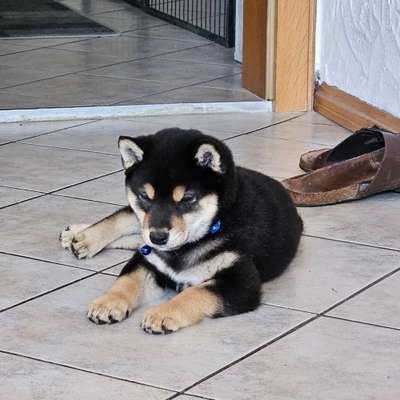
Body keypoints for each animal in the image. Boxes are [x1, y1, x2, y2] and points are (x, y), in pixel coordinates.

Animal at [60, 129, 304, 334]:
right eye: (145, 196)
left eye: (187, 198)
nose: (158, 237)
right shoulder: (148, 259)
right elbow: (127, 280)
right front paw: (109, 302)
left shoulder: (242, 281)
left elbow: (195, 292)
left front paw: (163, 313)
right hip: (141, 227)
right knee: (126, 219)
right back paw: (82, 235)